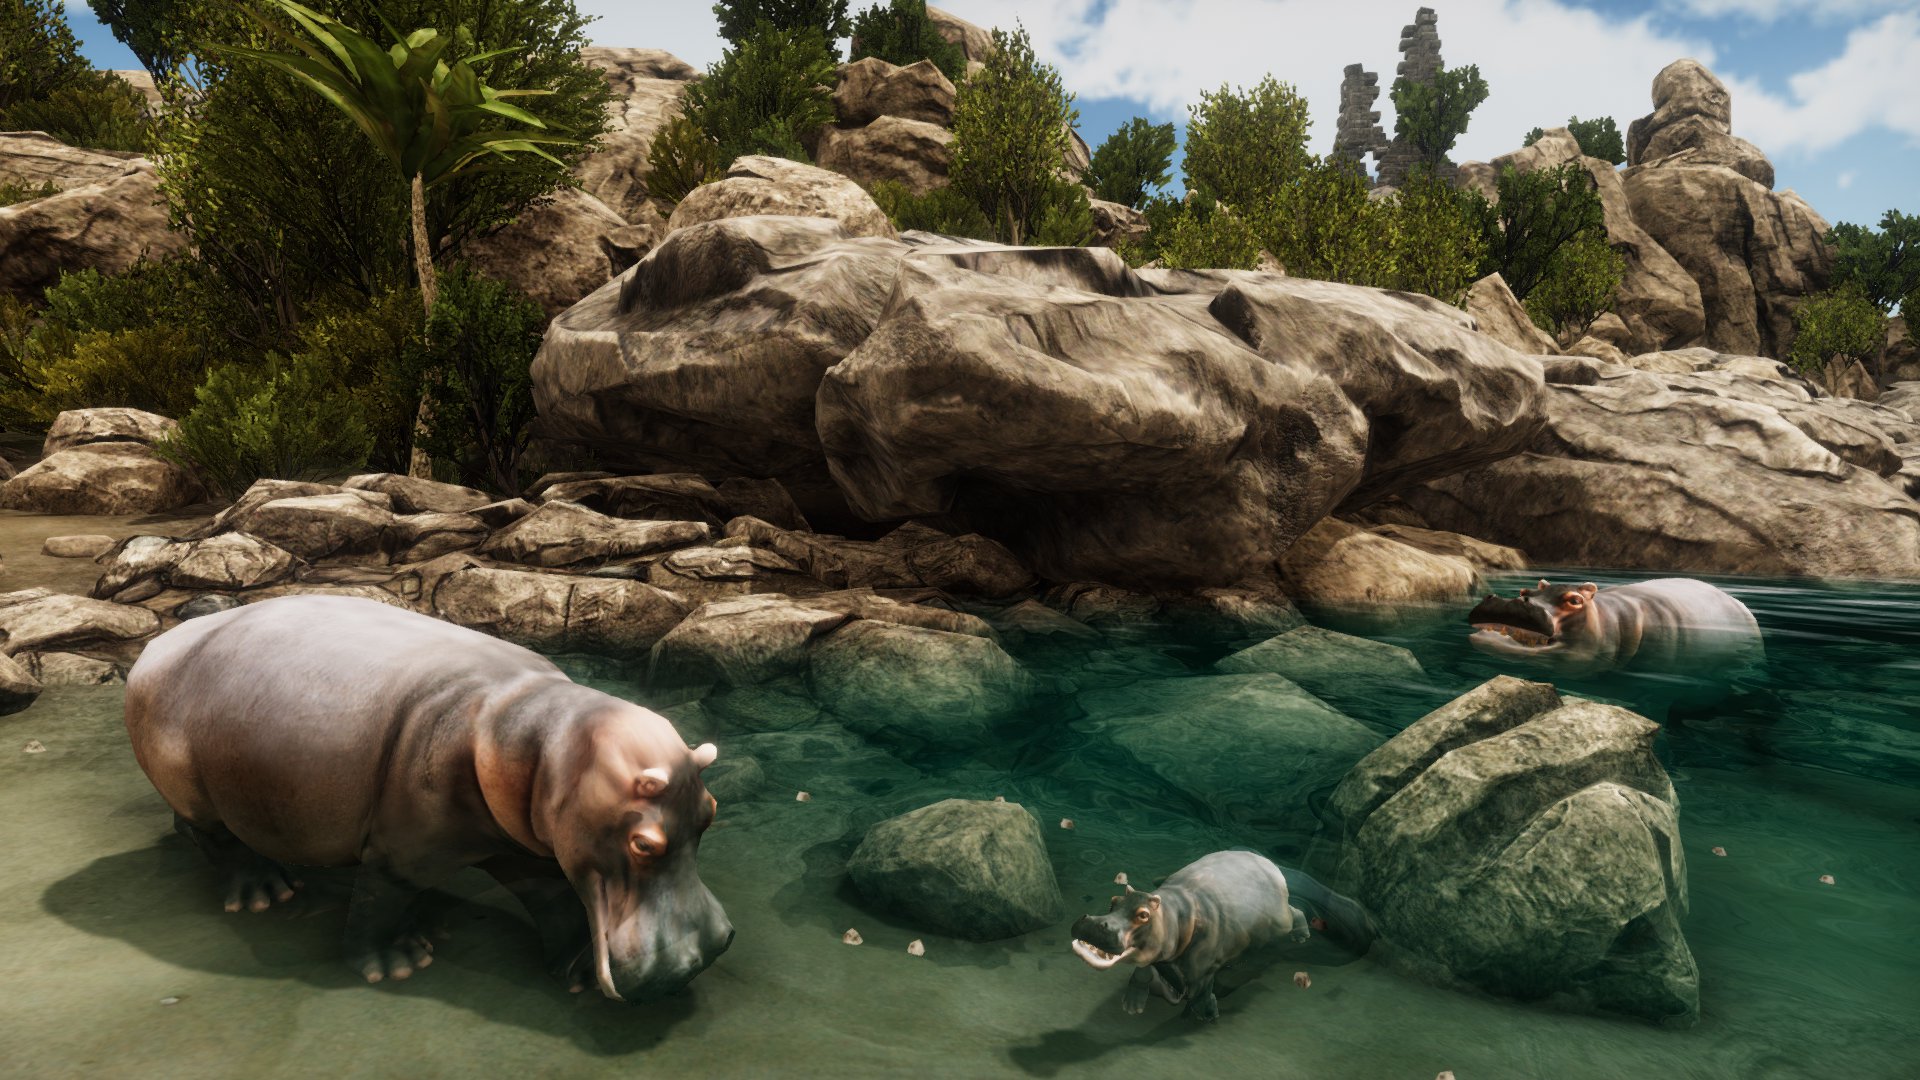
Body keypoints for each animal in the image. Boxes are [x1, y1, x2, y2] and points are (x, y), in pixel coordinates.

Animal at [123, 594, 733, 1003]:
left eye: (710, 815)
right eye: (643, 844)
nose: (704, 955)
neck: (548, 741)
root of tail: (161, 643)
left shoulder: (529, 846)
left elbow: (556, 898)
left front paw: (579, 971)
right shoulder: (401, 849)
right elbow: (379, 900)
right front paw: (396, 965)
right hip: (193, 783)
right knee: (218, 838)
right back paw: (265, 893)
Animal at [1069, 851, 1375, 1021]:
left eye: (1143, 915)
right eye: (1113, 901)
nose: (1094, 922)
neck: (1173, 916)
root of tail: (1268, 862)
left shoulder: (1205, 966)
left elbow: (1203, 989)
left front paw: (1206, 1015)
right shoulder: (1155, 957)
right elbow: (1142, 972)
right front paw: (1132, 1007)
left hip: (1280, 919)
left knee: (1296, 910)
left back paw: (1301, 936)